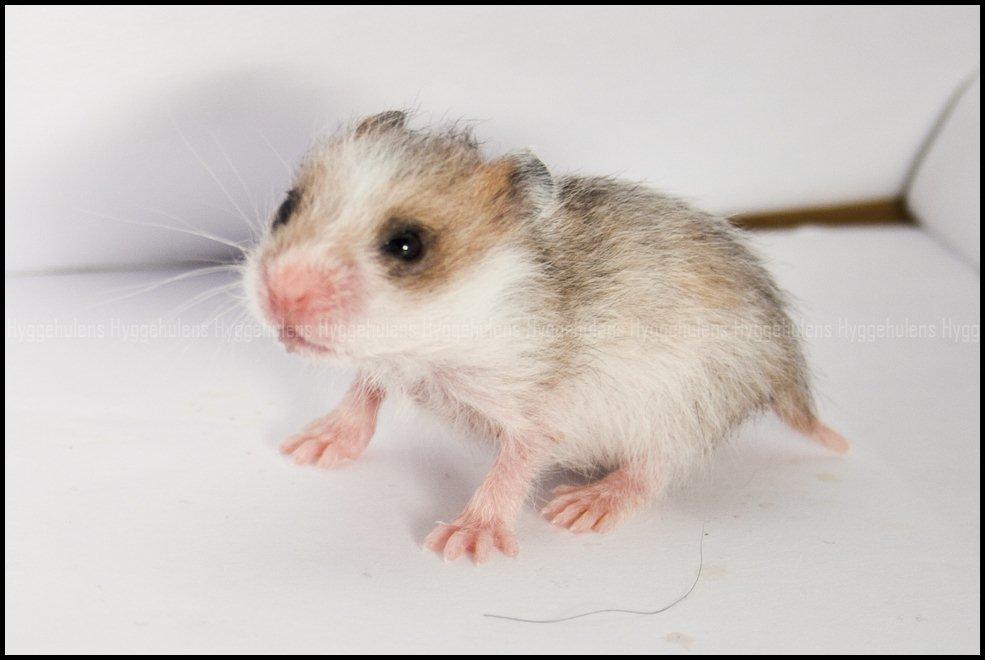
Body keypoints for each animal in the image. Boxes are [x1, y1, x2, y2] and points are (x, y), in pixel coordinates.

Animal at [245, 110, 848, 564]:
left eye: (408, 246)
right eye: (286, 206)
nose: (279, 297)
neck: (441, 335)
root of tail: (785, 365)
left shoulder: (536, 409)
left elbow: (513, 465)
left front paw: (463, 543)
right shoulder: (392, 360)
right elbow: (365, 388)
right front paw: (310, 447)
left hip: (686, 408)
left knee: (655, 469)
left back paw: (583, 508)